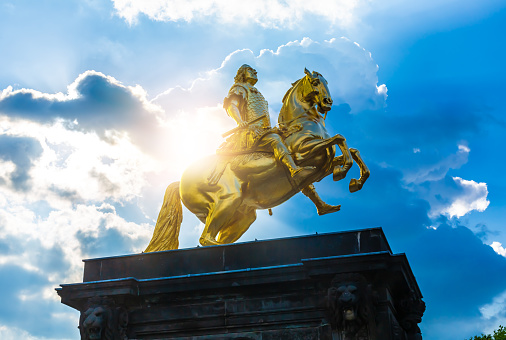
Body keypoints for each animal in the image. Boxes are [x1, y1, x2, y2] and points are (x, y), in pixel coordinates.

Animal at [144, 67, 370, 251]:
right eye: (315, 82)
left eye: (326, 82)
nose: (327, 102)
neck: (302, 122)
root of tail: (181, 181)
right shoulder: (303, 152)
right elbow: (339, 139)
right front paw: (344, 172)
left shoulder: (322, 163)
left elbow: (352, 150)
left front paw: (355, 181)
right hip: (227, 200)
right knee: (206, 238)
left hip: (242, 216)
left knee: (214, 236)